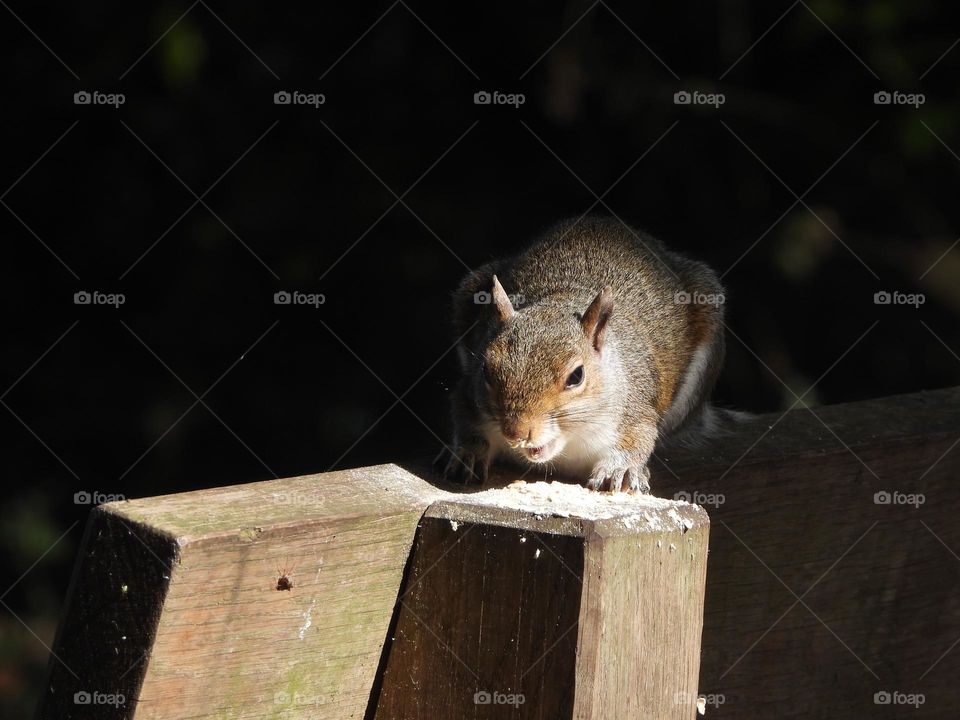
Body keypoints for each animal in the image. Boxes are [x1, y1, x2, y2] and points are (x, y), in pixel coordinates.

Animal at [436, 216, 729, 493]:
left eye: (576, 376)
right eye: (486, 369)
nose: (516, 432)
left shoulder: (635, 413)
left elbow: (638, 439)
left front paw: (620, 469)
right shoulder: (470, 397)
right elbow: (464, 417)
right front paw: (468, 454)